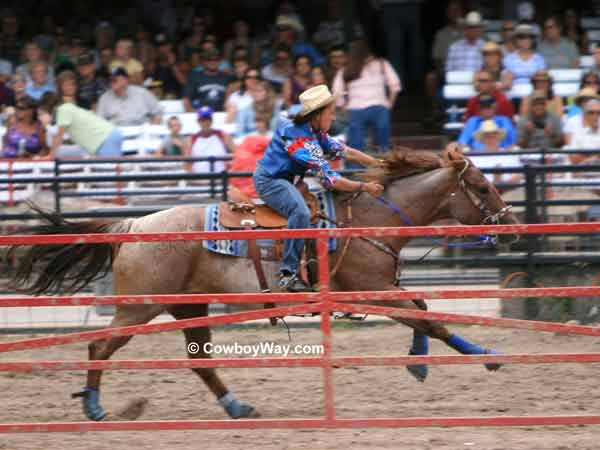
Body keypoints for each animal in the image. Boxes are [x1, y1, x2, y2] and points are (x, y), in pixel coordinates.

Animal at [5, 145, 520, 422]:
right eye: (483, 186)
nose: (513, 226)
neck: (370, 218)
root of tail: (131, 226)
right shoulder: (371, 288)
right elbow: (429, 318)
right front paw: (487, 355)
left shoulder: (381, 288)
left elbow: (422, 310)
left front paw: (418, 363)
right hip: (140, 306)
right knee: (100, 347)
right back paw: (94, 409)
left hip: (188, 306)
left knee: (200, 361)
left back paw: (237, 407)